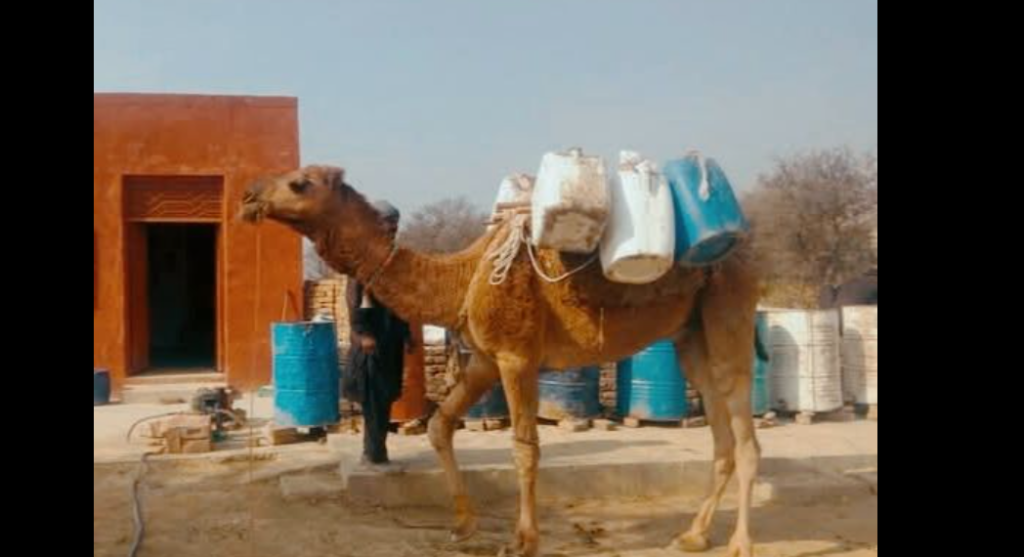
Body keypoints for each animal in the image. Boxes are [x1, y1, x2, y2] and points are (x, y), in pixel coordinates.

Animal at [240, 165, 762, 557]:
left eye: (299, 183)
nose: (248, 196)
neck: (463, 276)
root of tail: (744, 250)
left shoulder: (516, 358)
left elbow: (525, 447)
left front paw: (522, 540)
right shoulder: (485, 361)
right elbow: (439, 426)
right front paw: (463, 524)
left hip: (729, 309)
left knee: (745, 433)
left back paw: (740, 544)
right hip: (690, 335)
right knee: (720, 431)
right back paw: (693, 535)